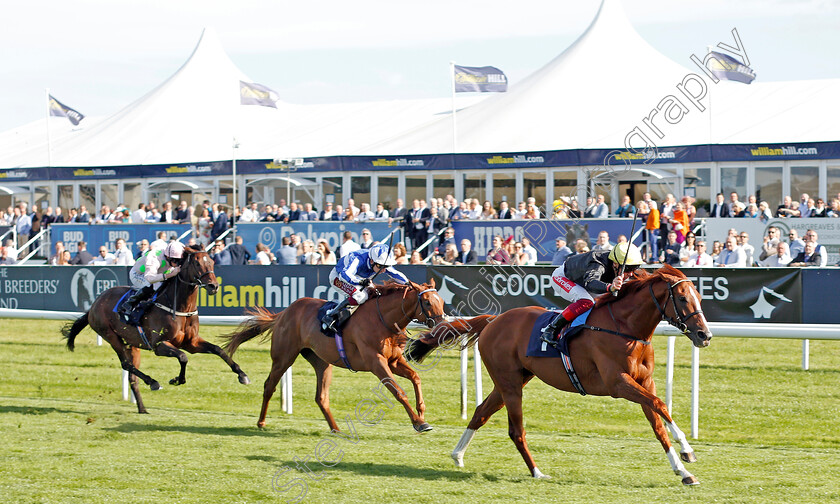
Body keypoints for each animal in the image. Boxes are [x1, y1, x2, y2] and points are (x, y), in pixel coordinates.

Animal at [61, 245, 249, 414]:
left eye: (211, 261)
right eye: (196, 263)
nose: (213, 286)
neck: (179, 307)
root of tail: (94, 304)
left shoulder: (192, 343)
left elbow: (218, 350)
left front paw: (242, 375)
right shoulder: (158, 345)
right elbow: (183, 357)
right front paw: (177, 380)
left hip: (132, 344)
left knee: (132, 375)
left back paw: (143, 408)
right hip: (110, 336)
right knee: (126, 364)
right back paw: (153, 382)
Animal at [221, 280, 446, 434]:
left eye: (442, 301)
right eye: (427, 302)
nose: (442, 324)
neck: (382, 319)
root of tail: (284, 313)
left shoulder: (394, 361)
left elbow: (416, 377)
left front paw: (421, 411)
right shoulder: (376, 363)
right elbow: (399, 392)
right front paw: (419, 423)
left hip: (322, 362)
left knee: (321, 397)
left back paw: (336, 428)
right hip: (284, 356)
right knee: (269, 385)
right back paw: (261, 422)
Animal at [406, 266, 716, 486]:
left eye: (700, 297)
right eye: (683, 298)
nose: (705, 335)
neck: (625, 327)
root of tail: (494, 320)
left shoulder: (644, 382)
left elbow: (658, 422)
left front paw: (683, 470)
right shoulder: (618, 383)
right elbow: (660, 405)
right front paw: (687, 450)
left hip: (513, 379)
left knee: (482, 412)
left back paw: (458, 455)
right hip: (510, 383)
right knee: (516, 430)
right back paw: (537, 472)